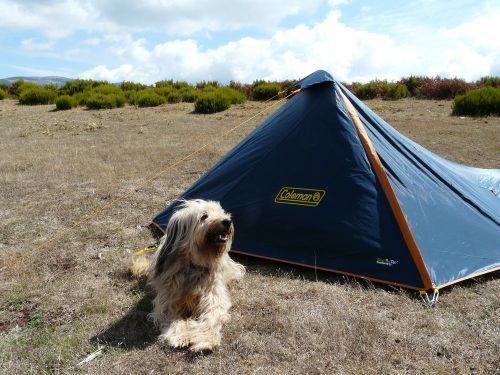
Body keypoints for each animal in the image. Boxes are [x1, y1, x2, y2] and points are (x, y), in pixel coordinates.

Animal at [131, 201, 244, 352]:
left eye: (221, 212)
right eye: (204, 216)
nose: (227, 221)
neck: (194, 266)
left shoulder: (213, 298)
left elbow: (211, 317)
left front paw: (205, 339)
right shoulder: (167, 301)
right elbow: (173, 318)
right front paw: (181, 336)